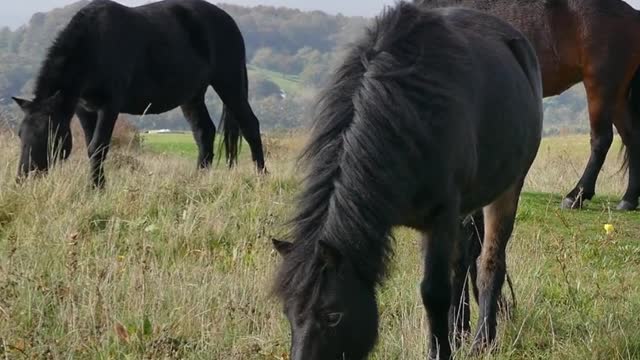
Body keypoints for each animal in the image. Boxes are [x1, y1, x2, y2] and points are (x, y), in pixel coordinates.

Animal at [12, 0, 268, 187]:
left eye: (49, 134)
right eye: (20, 134)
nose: (24, 177)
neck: (95, 44)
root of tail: (229, 21)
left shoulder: (109, 107)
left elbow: (98, 147)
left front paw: (95, 189)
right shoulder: (85, 109)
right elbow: (91, 147)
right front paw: (98, 186)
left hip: (229, 84)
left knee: (250, 126)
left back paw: (261, 176)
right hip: (192, 96)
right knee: (204, 132)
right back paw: (198, 179)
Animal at [272, 2, 544, 360]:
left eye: (333, 315)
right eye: (288, 313)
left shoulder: (440, 217)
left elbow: (434, 292)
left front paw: (441, 350)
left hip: (507, 189)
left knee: (489, 264)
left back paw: (482, 339)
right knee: (463, 264)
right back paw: (459, 331)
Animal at [416, 0, 640, 211]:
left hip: (601, 86)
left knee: (601, 140)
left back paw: (576, 196)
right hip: (616, 95)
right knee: (631, 138)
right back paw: (628, 200)